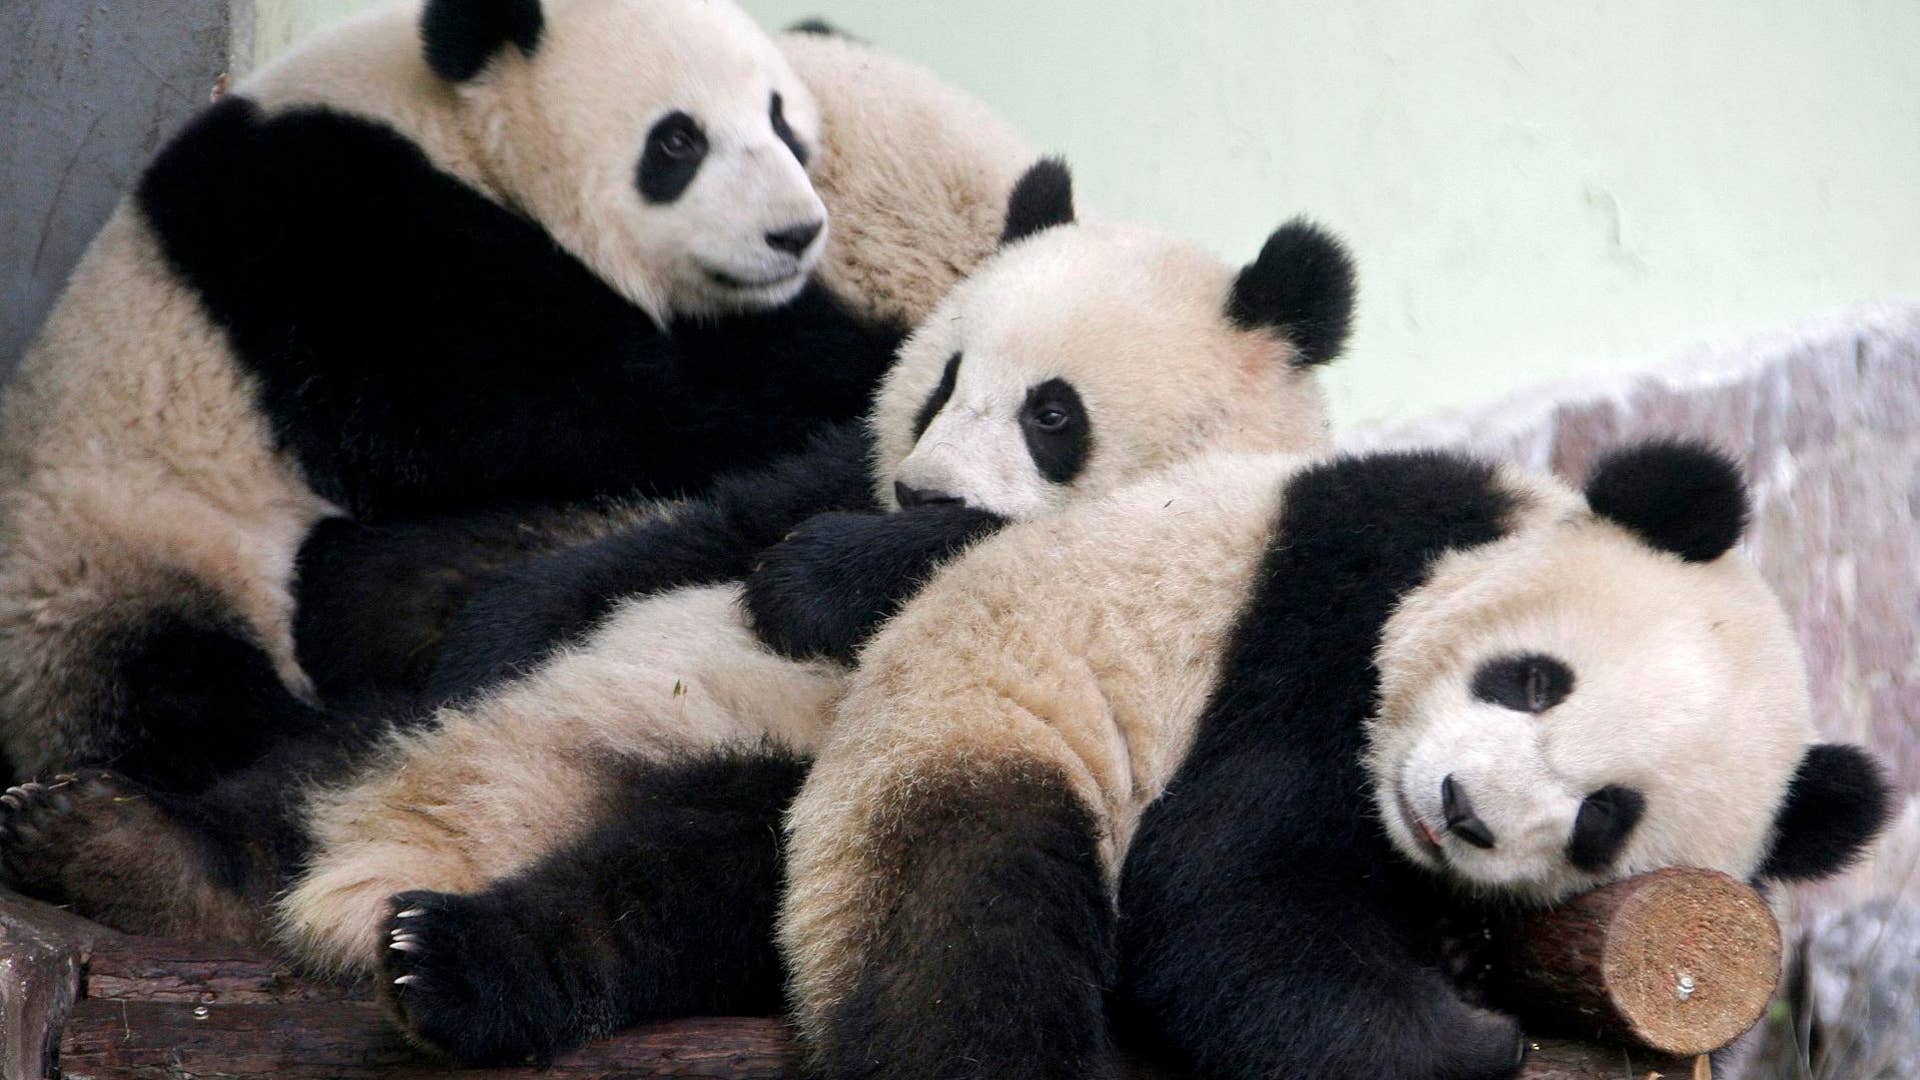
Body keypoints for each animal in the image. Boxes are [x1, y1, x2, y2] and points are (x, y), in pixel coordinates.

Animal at [0, 0, 1034, 792]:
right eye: (678, 142)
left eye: (786, 126)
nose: (793, 233)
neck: (455, 124)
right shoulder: (349, 228)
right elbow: (525, 407)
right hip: (124, 556)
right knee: (180, 686)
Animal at [773, 440, 1894, 1080]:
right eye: (1533, 681)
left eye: (1601, 817)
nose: (1462, 809)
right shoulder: (1334, 611)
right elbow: (1227, 890)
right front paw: (1470, 1038)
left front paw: (1465, 963)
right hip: (957, 739)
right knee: (970, 949)